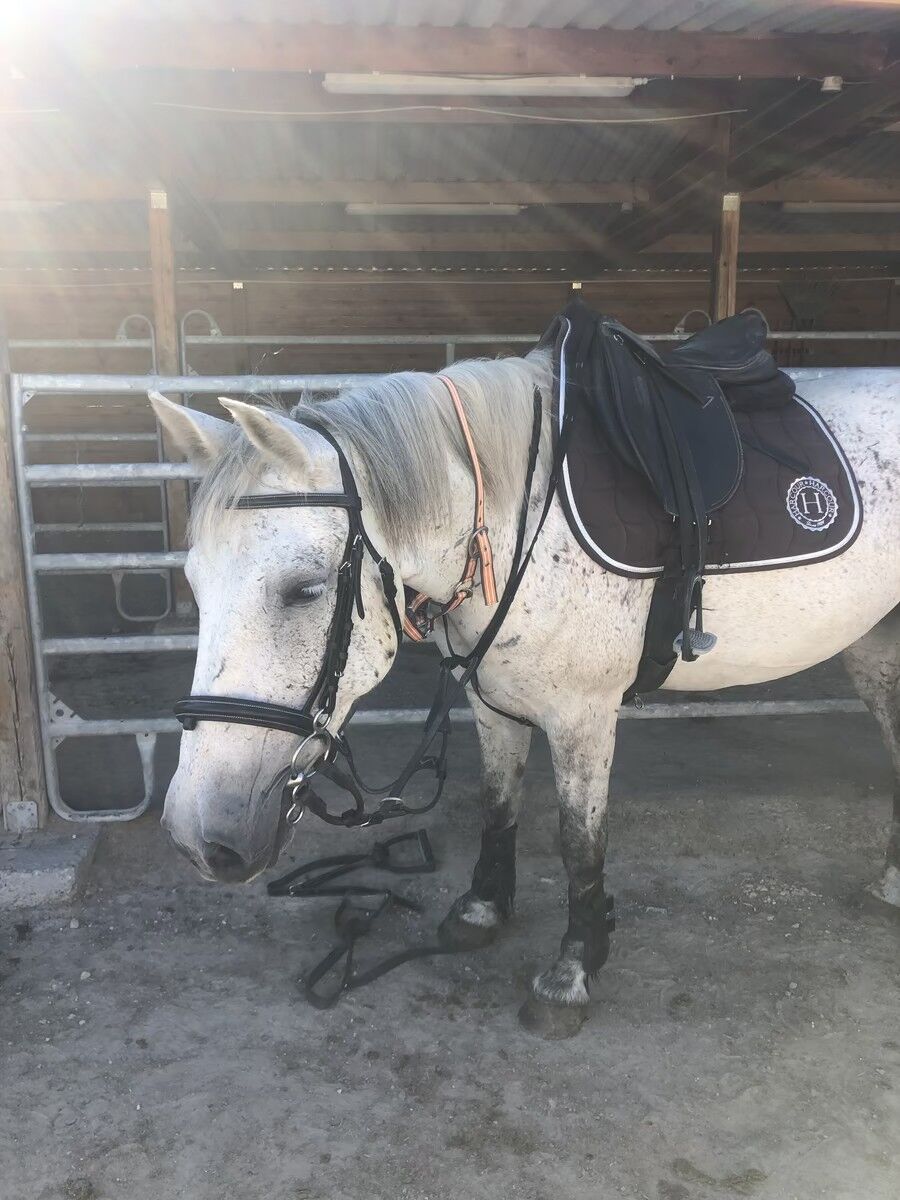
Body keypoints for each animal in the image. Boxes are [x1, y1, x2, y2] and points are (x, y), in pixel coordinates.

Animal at [150, 349, 900, 1038]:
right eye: (194, 584)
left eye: (303, 590)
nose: (195, 836)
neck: (520, 522)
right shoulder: (491, 702)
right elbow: (498, 806)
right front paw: (481, 912)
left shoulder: (584, 717)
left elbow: (580, 845)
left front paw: (571, 974)